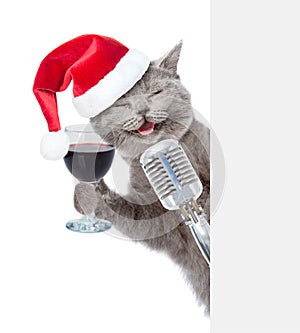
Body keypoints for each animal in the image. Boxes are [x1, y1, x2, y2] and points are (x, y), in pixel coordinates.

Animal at [74, 41, 211, 314]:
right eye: (123, 104)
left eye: (155, 92)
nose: (142, 110)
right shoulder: (161, 225)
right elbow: (137, 217)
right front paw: (90, 194)